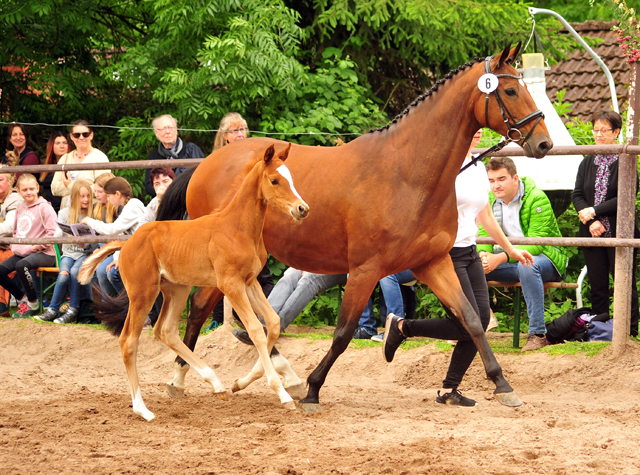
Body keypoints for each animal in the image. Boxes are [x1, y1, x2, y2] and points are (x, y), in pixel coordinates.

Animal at [79, 144, 308, 420]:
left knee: (165, 330)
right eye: (274, 180)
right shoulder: (231, 285)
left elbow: (272, 323)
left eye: (292, 178)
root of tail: (126, 244)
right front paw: (282, 393)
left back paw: (215, 383)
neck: (238, 227)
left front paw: (241, 382)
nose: (302, 209)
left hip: (176, 290)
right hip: (143, 294)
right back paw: (142, 408)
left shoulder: (250, 282)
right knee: (128, 342)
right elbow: (255, 330)